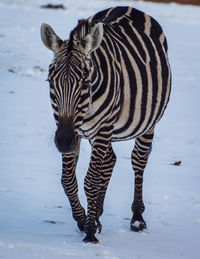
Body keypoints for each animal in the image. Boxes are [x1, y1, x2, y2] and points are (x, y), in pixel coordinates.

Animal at [40, 6, 170, 246]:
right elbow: (68, 180)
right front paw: (84, 221)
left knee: (138, 160)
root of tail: (128, 7)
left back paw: (137, 218)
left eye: (85, 82)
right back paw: (99, 215)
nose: (63, 143)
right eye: (50, 81)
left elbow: (91, 180)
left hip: (146, 123)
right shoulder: (73, 130)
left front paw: (90, 232)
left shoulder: (100, 129)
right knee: (110, 160)